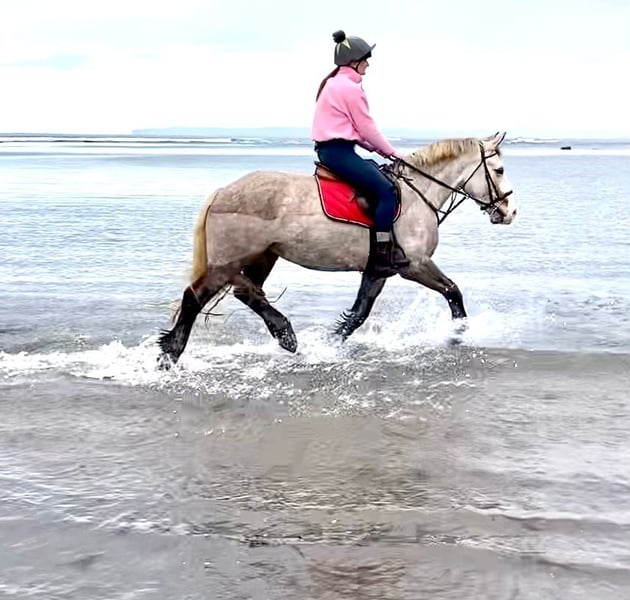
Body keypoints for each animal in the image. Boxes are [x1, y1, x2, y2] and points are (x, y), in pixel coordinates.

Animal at [157, 132, 516, 367]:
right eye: (499, 170)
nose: (509, 211)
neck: (418, 195)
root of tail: (221, 192)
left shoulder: (379, 270)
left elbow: (358, 313)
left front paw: (328, 344)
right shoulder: (415, 265)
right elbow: (453, 291)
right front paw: (457, 334)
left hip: (263, 256)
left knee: (245, 292)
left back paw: (281, 335)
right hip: (229, 262)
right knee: (199, 296)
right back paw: (172, 352)